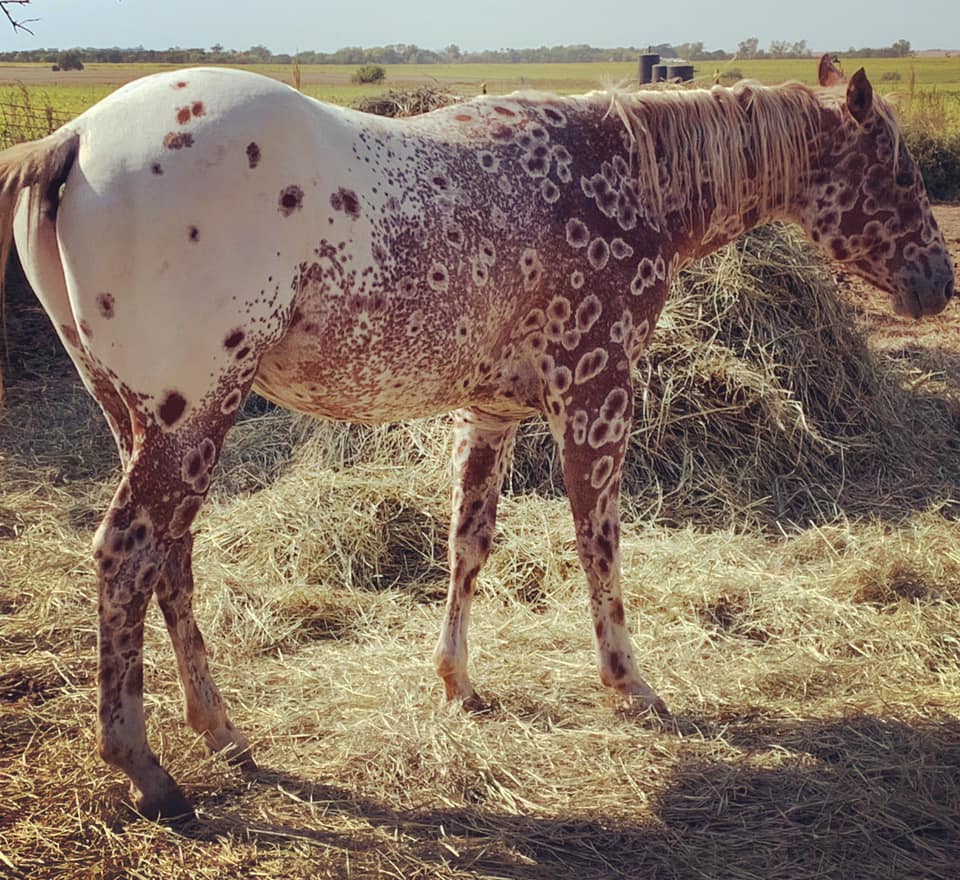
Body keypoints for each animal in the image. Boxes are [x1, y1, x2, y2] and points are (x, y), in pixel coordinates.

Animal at [0, 53, 948, 820]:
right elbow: (598, 543)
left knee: (171, 556)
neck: (634, 176)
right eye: (901, 174)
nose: (938, 282)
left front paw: (457, 682)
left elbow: (469, 542)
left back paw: (223, 731)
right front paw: (629, 686)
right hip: (190, 413)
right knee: (127, 553)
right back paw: (146, 769)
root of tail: (76, 139)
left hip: (141, 419)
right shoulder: (598, 396)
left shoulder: (489, 413)